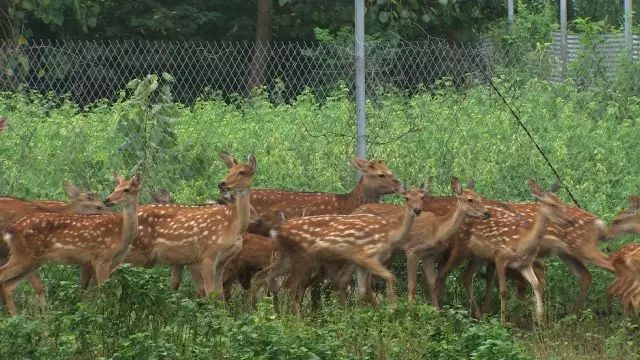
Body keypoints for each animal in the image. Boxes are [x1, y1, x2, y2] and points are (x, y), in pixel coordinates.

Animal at [0, 174, 141, 316]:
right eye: (116, 188)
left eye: (126, 189)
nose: (108, 200)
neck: (121, 234)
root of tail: (11, 230)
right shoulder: (101, 258)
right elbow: (101, 288)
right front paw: (102, 313)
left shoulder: (105, 261)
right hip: (24, 257)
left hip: (31, 261)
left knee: (9, 286)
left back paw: (15, 316)